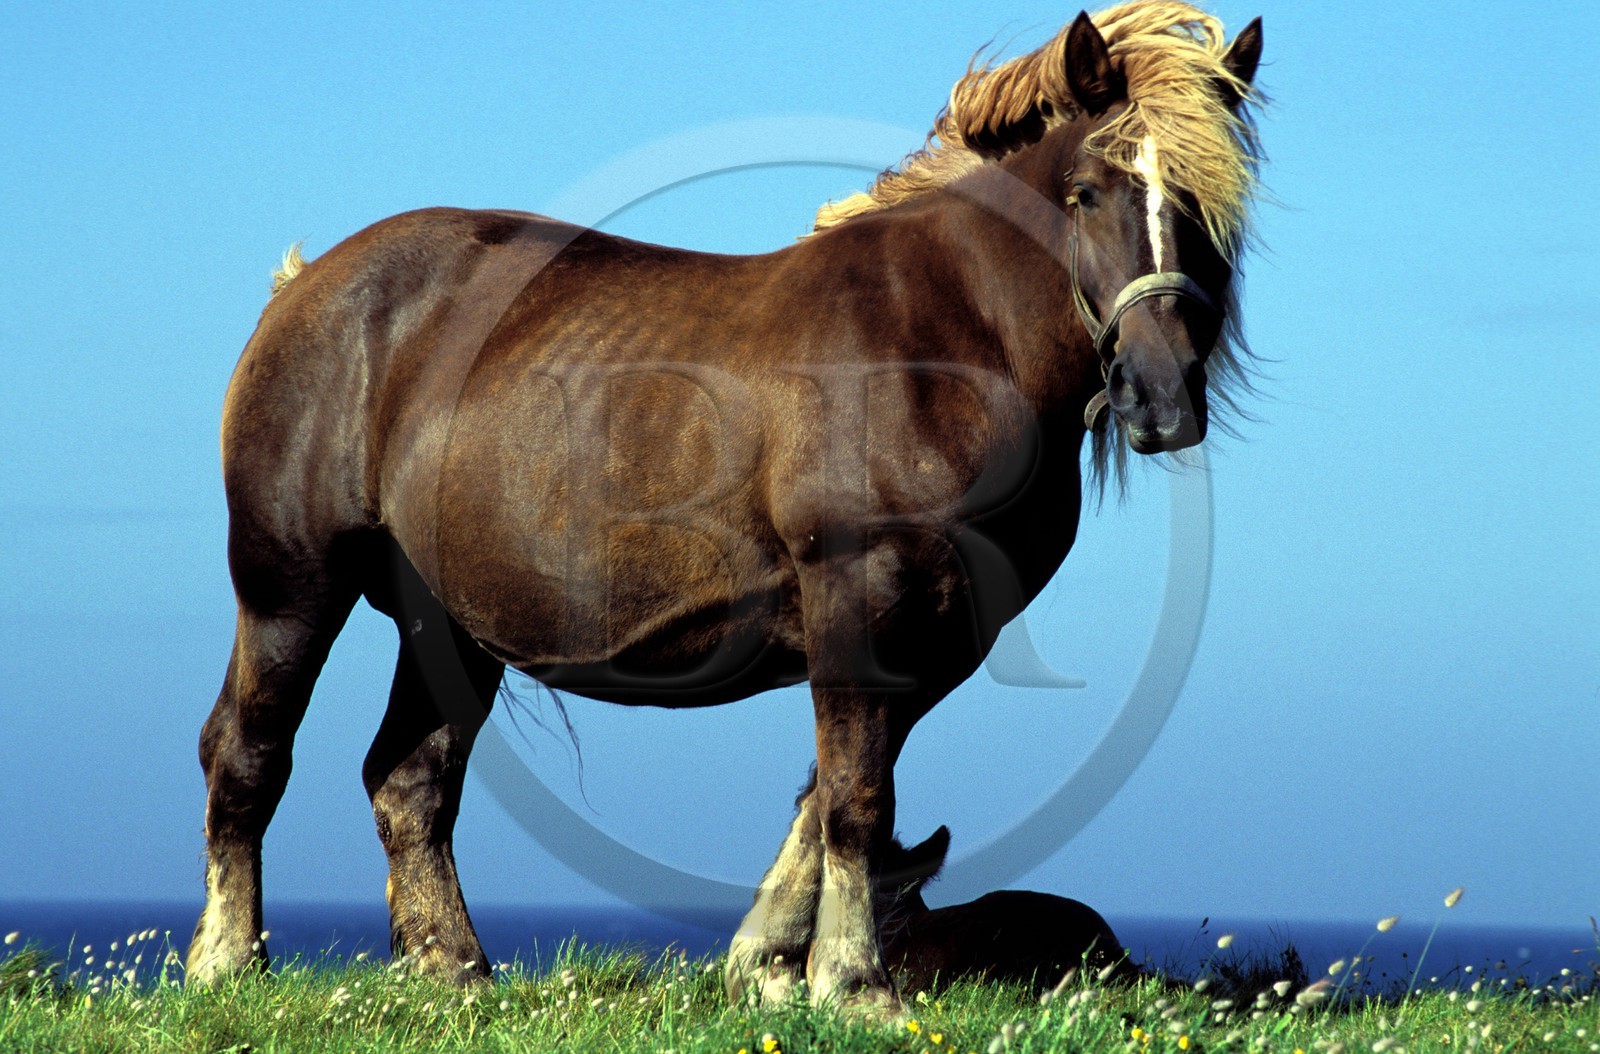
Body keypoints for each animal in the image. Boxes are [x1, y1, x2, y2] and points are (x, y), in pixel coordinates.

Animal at [185, 0, 1264, 1017]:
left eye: (1213, 206)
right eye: (1084, 191)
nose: (1160, 398)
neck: (943, 339)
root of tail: (307, 286)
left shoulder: (937, 630)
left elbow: (827, 795)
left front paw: (772, 964)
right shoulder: (859, 590)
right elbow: (857, 799)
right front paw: (852, 981)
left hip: (446, 618)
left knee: (410, 780)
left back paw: (454, 971)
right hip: (290, 585)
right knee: (247, 753)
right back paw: (226, 962)